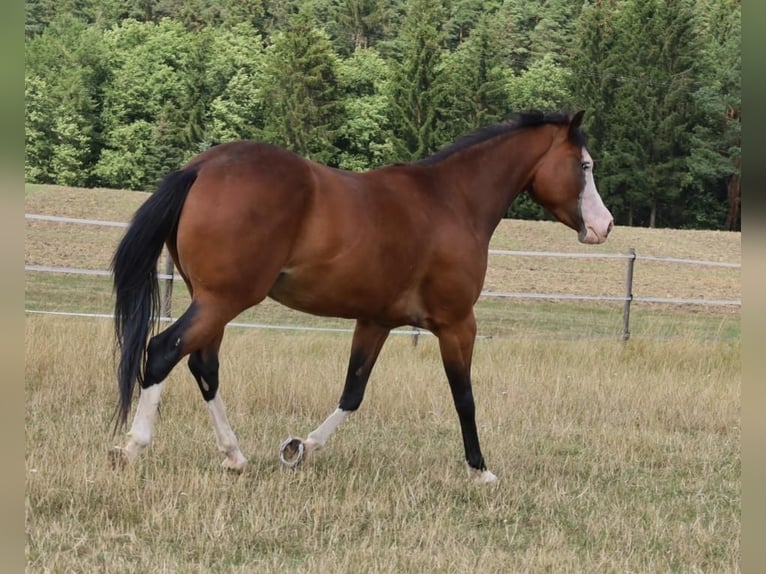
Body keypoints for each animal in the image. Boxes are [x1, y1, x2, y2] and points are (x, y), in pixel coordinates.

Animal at [111, 110, 613, 483]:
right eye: (585, 165)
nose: (604, 226)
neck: (452, 201)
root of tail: (199, 168)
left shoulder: (376, 321)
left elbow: (352, 392)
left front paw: (299, 449)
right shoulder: (457, 324)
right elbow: (464, 397)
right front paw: (480, 470)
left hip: (214, 301)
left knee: (203, 365)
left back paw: (234, 455)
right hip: (223, 300)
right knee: (164, 350)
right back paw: (134, 447)